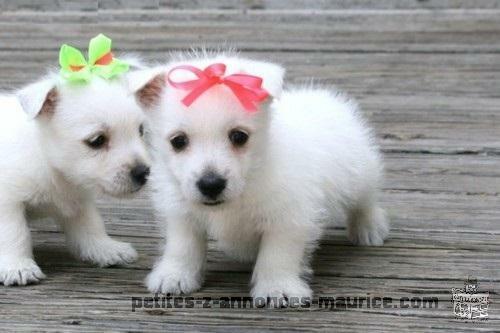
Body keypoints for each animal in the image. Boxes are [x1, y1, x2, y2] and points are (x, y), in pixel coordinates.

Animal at [0, 72, 154, 286]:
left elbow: (91, 225)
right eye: (97, 140)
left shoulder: (78, 201)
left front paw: (106, 249)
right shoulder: (7, 202)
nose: (143, 172)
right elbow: (14, 232)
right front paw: (18, 266)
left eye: (140, 130)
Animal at [139, 52, 388, 300]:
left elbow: (277, 255)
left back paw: (369, 228)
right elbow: (182, 245)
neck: (249, 180)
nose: (211, 185)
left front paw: (277, 288)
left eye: (239, 136)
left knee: (365, 200)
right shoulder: (181, 212)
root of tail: (322, 97)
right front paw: (174, 275)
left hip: (361, 173)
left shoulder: (289, 217)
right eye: (178, 141)